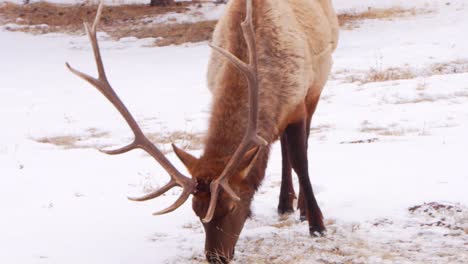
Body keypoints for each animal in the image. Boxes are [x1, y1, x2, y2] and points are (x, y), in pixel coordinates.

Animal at [66, 0, 338, 262]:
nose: (216, 257)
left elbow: (301, 161)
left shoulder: (299, 103)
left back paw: (299, 207)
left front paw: (317, 224)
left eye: (231, 206)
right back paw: (284, 204)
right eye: (196, 211)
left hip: (318, 83)